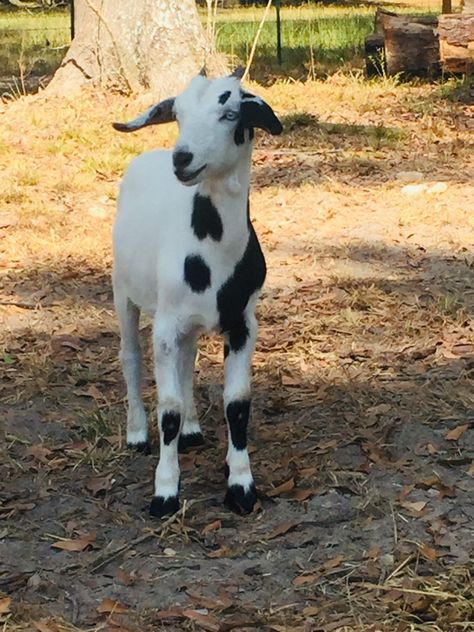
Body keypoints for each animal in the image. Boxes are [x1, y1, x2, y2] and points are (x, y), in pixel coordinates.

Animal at [112, 68, 282, 520]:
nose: (182, 158)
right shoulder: (165, 325)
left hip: (187, 321)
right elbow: (167, 407)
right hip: (122, 289)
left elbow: (237, 403)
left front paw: (241, 485)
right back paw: (137, 434)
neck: (211, 250)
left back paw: (190, 430)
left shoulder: (243, 323)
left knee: (188, 359)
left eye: (230, 112)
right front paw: (165, 492)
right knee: (130, 356)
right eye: (178, 115)